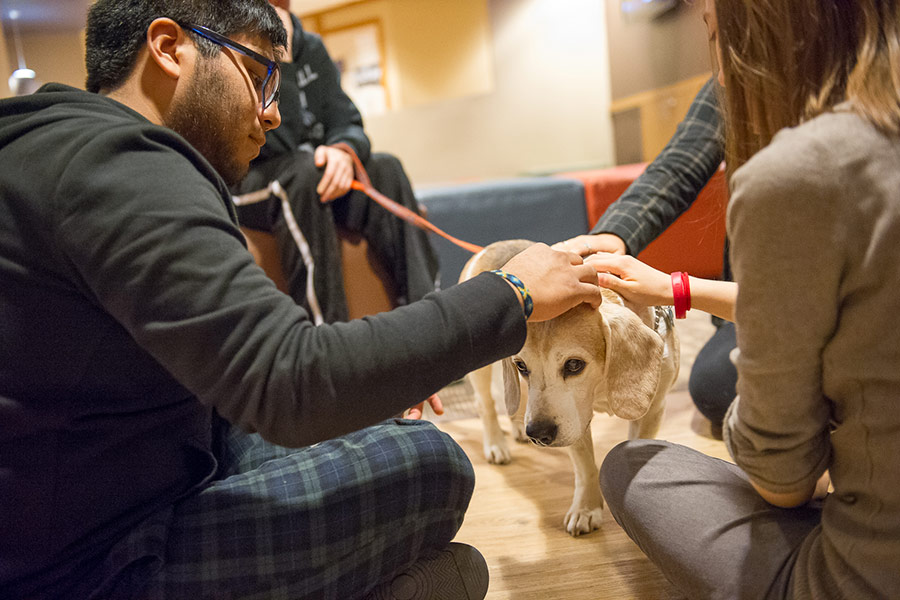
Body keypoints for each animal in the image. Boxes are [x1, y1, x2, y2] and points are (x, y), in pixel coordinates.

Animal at [460, 239, 680, 536]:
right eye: (522, 366)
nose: (538, 434)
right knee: (486, 406)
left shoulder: (652, 409)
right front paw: (587, 508)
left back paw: (517, 428)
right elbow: (585, 467)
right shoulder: (573, 422)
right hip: (481, 370)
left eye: (574, 364)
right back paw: (497, 444)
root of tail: (490, 247)